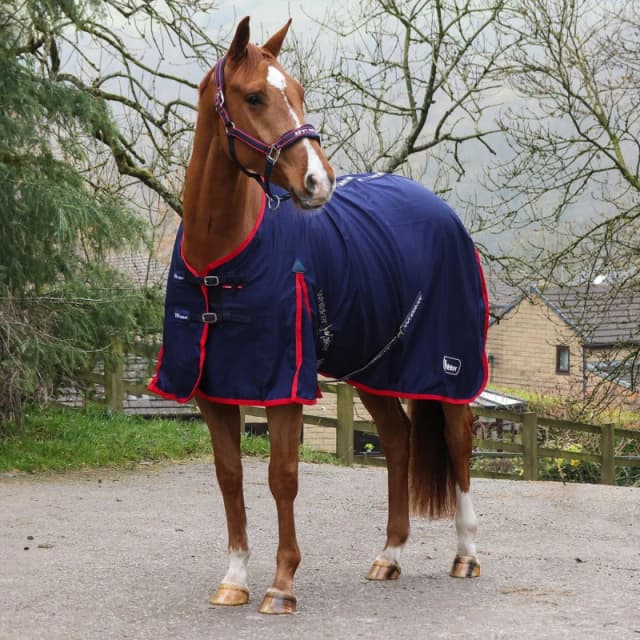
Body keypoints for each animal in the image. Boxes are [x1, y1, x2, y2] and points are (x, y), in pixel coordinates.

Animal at [149, 16, 489, 615]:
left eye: (299, 91)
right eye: (254, 96)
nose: (318, 181)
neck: (222, 260)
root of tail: (442, 213)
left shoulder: (285, 386)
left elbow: (282, 477)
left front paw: (281, 584)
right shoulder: (212, 389)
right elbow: (230, 477)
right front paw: (234, 578)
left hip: (448, 369)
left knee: (459, 440)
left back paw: (465, 555)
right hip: (376, 369)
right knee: (397, 441)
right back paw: (389, 556)